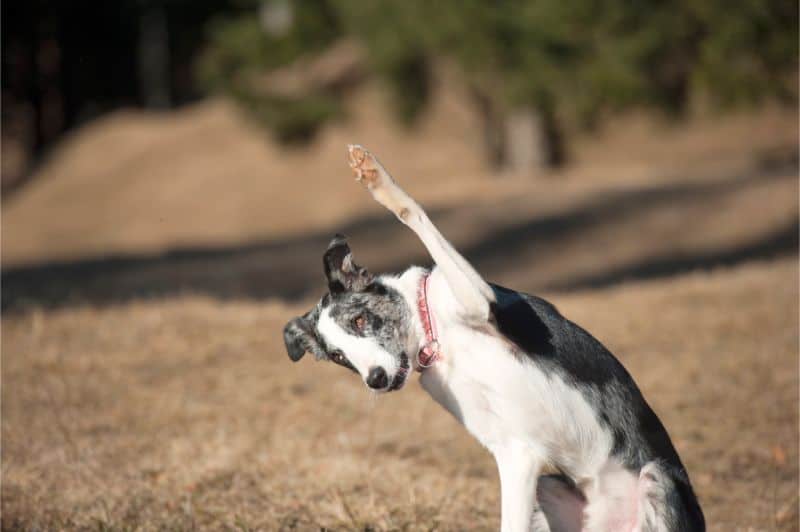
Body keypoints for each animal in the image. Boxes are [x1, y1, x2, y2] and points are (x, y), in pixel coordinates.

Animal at [282, 145, 708, 532]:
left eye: (359, 319)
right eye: (339, 357)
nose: (376, 380)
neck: (438, 336)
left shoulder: (481, 302)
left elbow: (414, 214)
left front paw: (376, 179)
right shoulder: (515, 454)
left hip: (656, 481)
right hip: (548, 489)